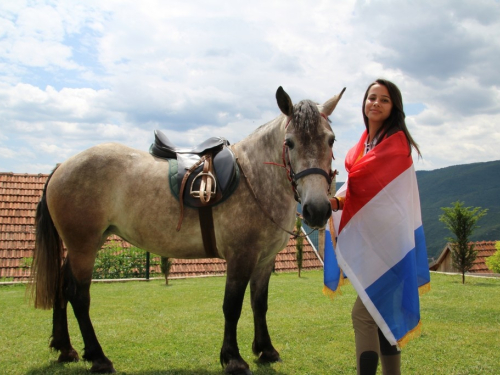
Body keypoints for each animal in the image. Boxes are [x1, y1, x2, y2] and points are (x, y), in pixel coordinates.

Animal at [30, 86, 344, 375]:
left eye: (330, 139)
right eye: (289, 143)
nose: (317, 210)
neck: (254, 177)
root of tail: (62, 167)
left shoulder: (264, 260)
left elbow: (259, 303)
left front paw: (265, 350)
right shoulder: (241, 257)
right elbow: (232, 306)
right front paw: (233, 358)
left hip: (81, 246)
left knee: (62, 287)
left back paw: (66, 349)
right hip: (83, 246)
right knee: (78, 295)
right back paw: (98, 358)